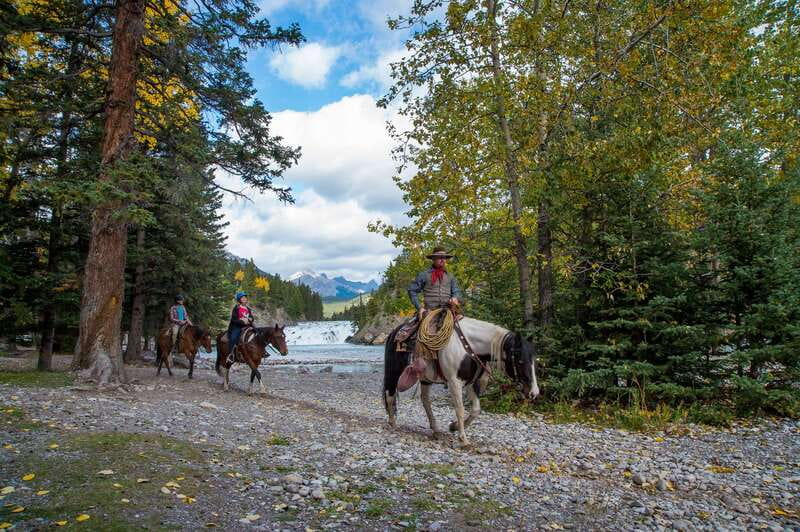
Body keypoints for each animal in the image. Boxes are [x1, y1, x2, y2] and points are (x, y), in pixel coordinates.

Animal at [383, 316, 539, 445]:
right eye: (520, 361)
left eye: (534, 361)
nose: (534, 393)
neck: (469, 347)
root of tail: (394, 332)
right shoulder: (454, 382)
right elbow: (460, 409)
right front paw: (463, 438)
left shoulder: (472, 383)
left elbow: (475, 410)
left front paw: (454, 426)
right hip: (394, 371)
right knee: (390, 393)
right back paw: (392, 422)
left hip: (425, 379)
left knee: (425, 400)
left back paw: (435, 429)